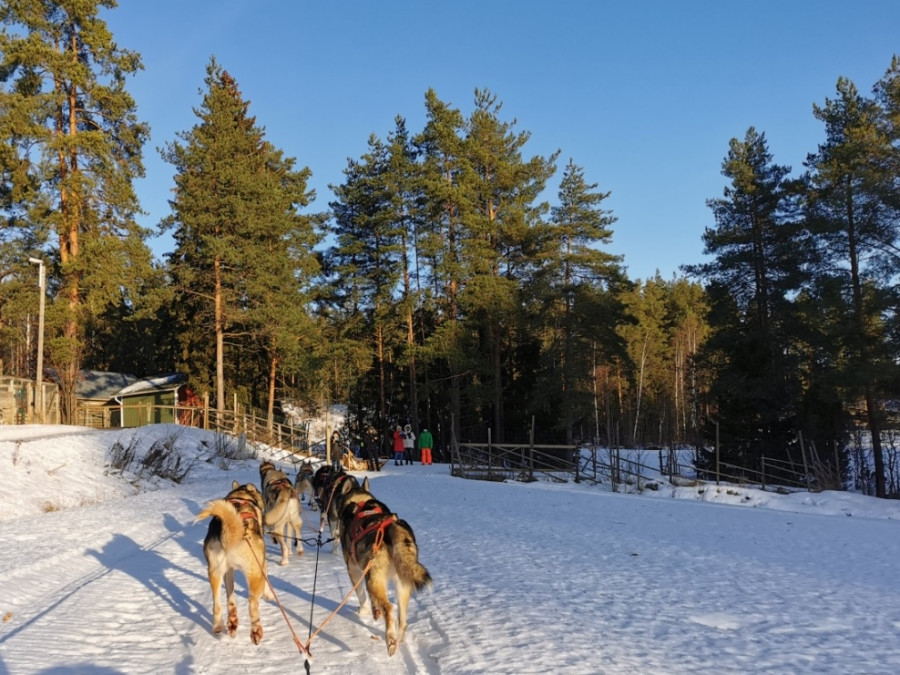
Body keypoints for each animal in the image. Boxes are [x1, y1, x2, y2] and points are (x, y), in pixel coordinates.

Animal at [199, 480, 276, 644]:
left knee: (218, 604)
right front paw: (269, 595)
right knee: (252, 602)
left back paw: (224, 624)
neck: (241, 497)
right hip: (255, 573)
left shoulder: (228, 571)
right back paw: (256, 631)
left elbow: (230, 596)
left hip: (215, 572)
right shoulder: (262, 564)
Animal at [340, 486, 434, 656]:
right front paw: (375, 610)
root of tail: (390, 527)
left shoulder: (355, 571)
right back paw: (398, 640)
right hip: (401, 583)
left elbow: (361, 595)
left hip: (373, 579)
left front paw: (364, 610)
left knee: (389, 608)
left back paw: (390, 639)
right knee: (402, 621)